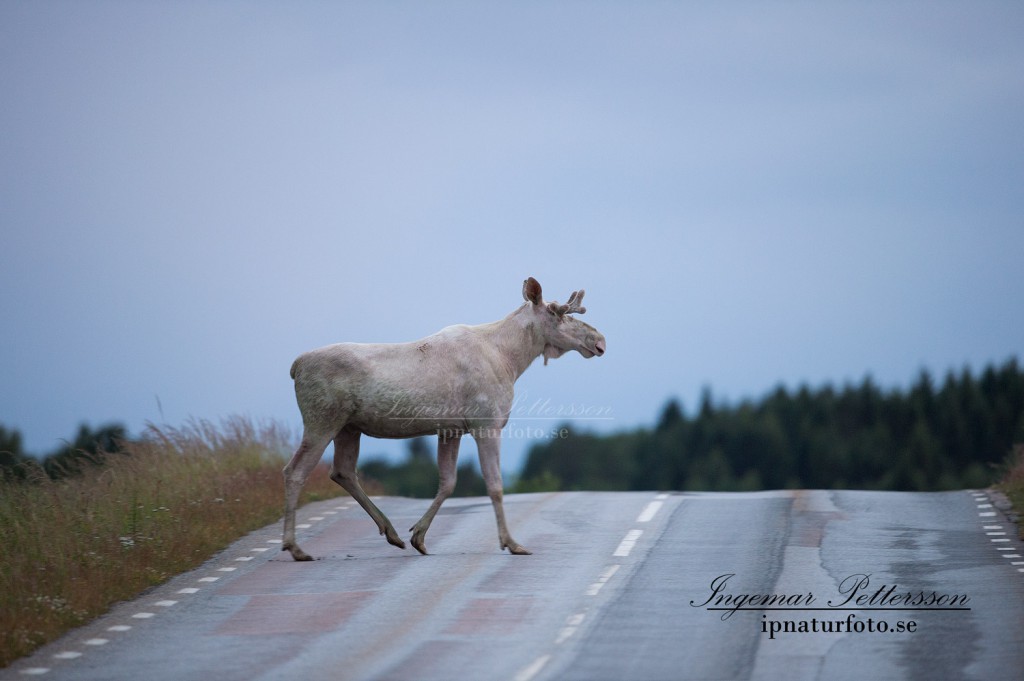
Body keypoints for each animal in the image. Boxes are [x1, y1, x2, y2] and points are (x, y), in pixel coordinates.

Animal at [282, 274, 606, 561]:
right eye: (558, 312)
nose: (600, 340)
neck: (512, 360)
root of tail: (294, 367)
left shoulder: (450, 429)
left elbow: (448, 482)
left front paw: (419, 537)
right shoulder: (487, 423)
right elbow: (495, 485)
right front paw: (512, 543)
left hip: (349, 427)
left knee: (343, 471)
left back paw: (392, 533)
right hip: (322, 419)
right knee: (295, 470)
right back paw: (295, 547)